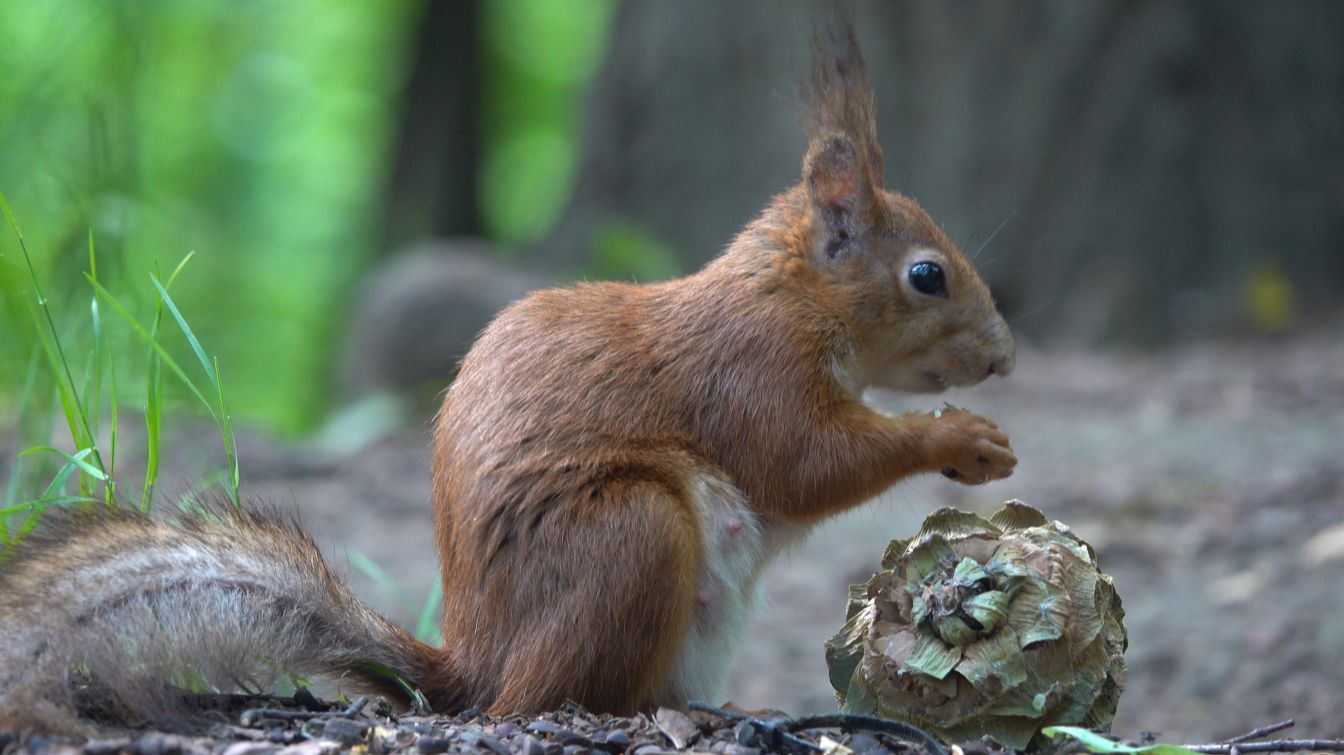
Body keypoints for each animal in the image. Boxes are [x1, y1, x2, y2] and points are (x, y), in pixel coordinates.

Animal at [0, 22, 1015, 735]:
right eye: (927, 275)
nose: (1003, 357)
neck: (793, 296)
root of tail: (475, 666)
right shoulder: (749, 370)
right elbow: (804, 462)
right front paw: (961, 438)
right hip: (632, 534)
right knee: (553, 697)